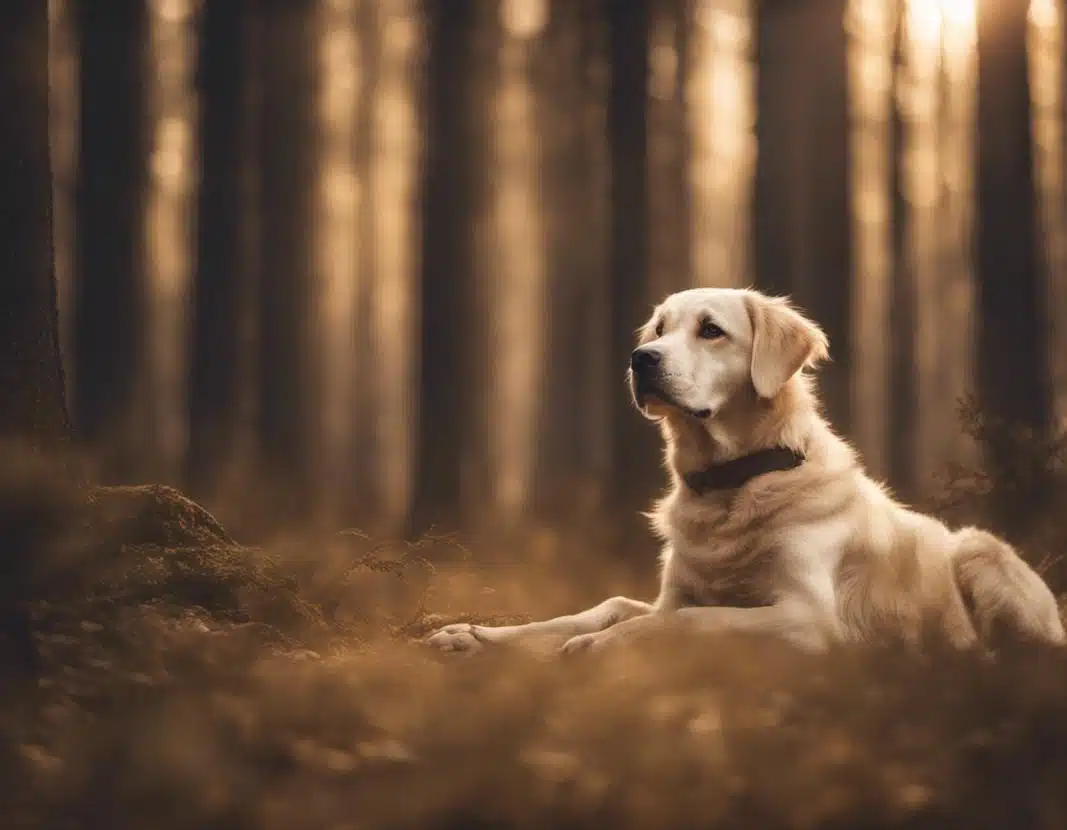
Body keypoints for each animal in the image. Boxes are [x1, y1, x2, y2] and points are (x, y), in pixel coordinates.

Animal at [426, 283, 1067, 652]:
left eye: (711, 330)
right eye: (659, 329)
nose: (640, 359)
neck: (734, 485)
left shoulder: (809, 618)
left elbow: (680, 622)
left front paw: (605, 647)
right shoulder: (671, 593)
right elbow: (598, 610)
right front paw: (476, 637)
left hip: (979, 549)